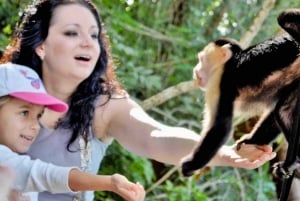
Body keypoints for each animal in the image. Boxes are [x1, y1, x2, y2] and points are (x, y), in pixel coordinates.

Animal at [180, 8, 300, 177]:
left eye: (201, 60)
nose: (195, 70)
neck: (227, 65)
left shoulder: (220, 82)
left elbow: (221, 127)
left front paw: (189, 165)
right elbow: (275, 114)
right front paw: (251, 141)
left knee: (285, 17)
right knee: (283, 110)